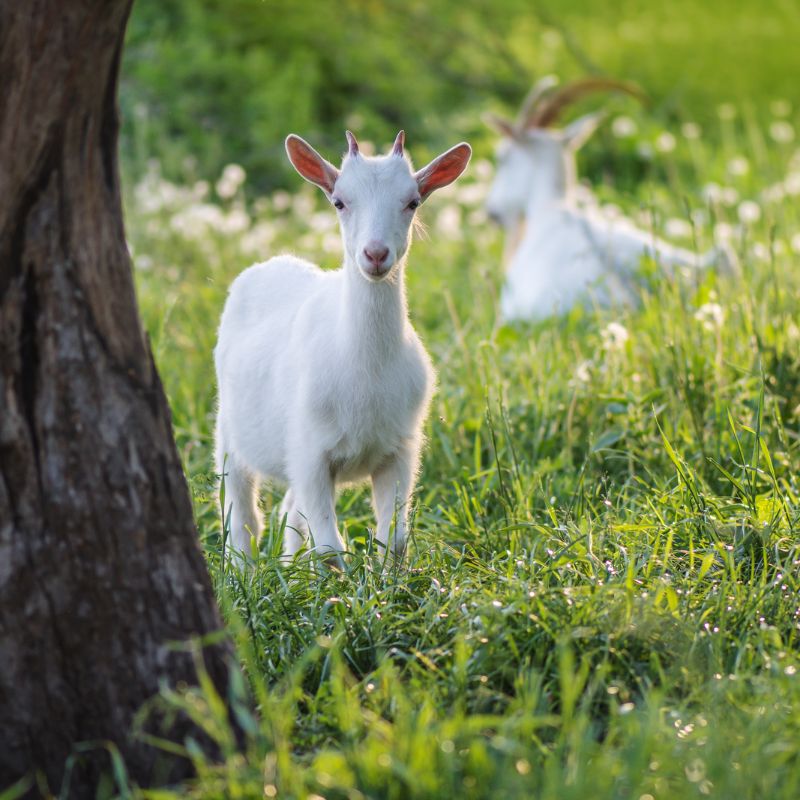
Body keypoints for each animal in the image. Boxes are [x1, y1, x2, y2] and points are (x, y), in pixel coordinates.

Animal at [214, 130, 471, 563]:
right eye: (339, 201)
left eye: (412, 202)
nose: (376, 254)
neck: (365, 371)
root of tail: (273, 262)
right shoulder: (310, 450)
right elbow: (329, 547)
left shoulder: (400, 450)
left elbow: (393, 539)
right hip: (229, 430)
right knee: (242, 516)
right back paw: (241, 570)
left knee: (289, 512)